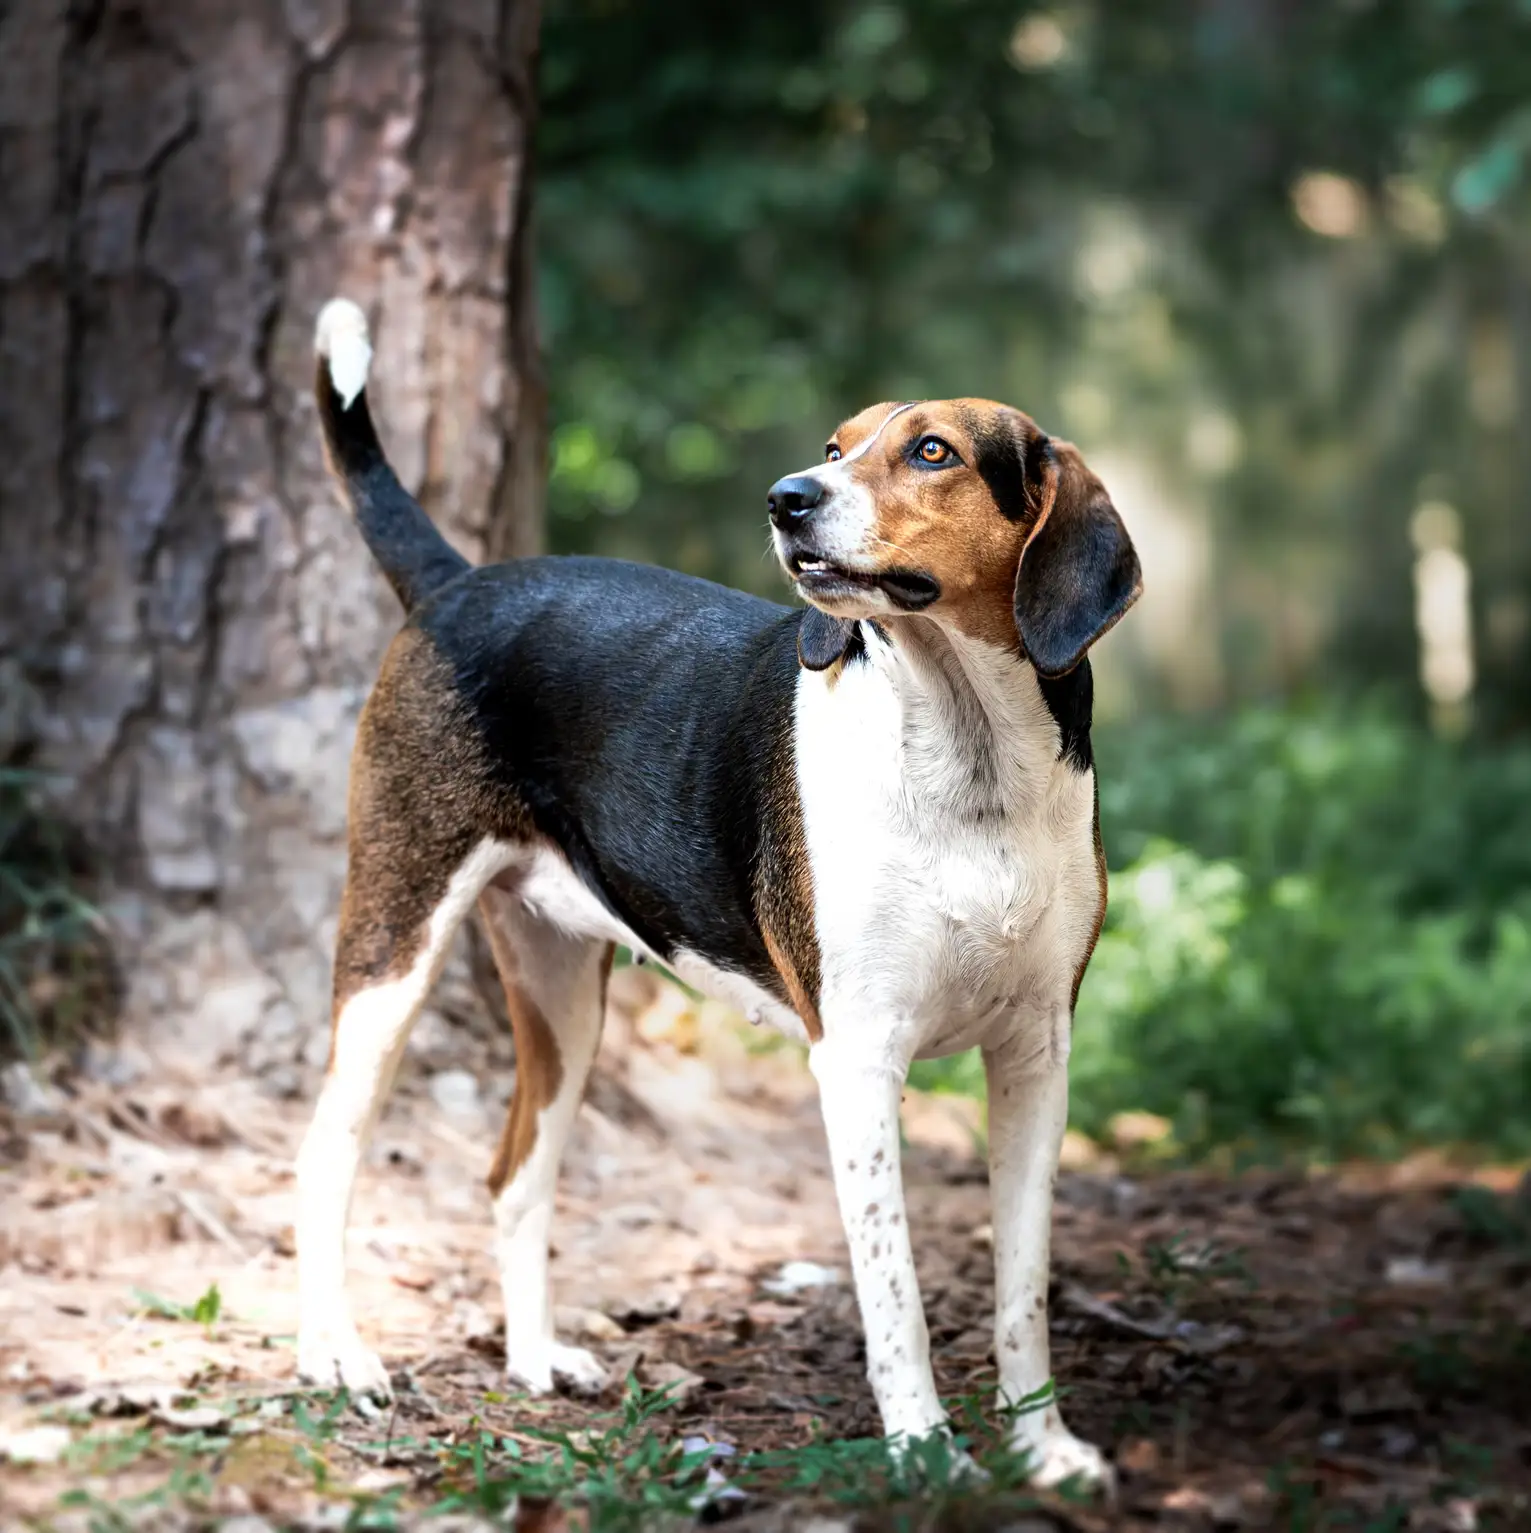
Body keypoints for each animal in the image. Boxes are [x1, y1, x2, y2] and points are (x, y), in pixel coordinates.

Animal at [295, 292, 1140, 1477]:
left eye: (931, 451)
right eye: (835, 446)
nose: (787, 498)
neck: (964, 759)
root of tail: (462, 578)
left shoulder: (1035, 1059)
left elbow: (1023, 1288)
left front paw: (1044, 1448)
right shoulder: (858, 1062)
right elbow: (896, 1293)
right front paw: (925, 1453)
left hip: (564, 996)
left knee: (514, 1179)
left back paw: (534, 1360)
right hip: (393, 950)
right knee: (324, 1157)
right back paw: (336, 1356)